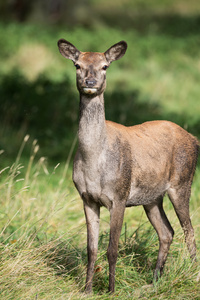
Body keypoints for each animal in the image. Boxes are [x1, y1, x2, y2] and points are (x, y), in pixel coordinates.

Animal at [57, 39, 199, 292]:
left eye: (105, 66)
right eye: (77, 65)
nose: (90, 82)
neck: (94, 163)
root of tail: (195, 139)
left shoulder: (119, 195)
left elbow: (112, 249)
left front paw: (111, 290)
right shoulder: (86, 197)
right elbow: (91, 249)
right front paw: (87, 289)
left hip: (182, 182)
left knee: (189, 230)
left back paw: (192, 275)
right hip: (152, 198)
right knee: (167, 232)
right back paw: (154, 281)